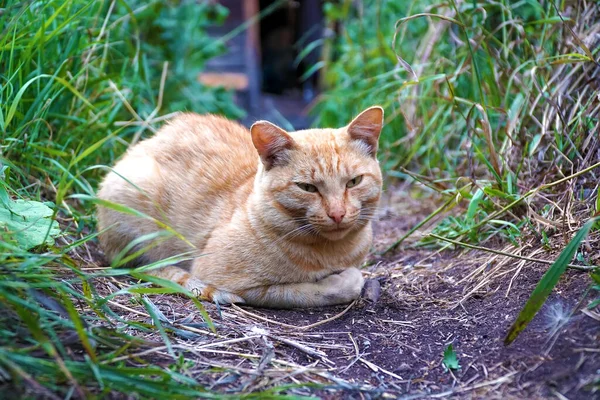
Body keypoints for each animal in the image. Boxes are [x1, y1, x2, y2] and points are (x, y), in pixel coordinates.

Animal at [95, 104, 382, 308]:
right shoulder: (237, 282)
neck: (333, 252)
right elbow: (308, 291)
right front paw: (342, 281)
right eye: (307, 188)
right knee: (142, 267)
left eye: (354, 182)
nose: (337, 213)